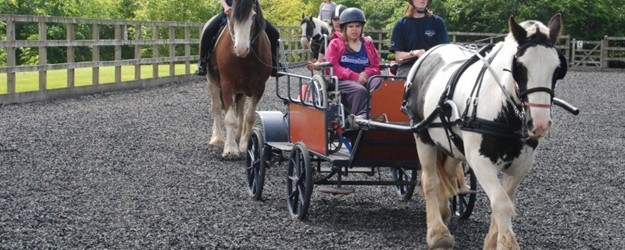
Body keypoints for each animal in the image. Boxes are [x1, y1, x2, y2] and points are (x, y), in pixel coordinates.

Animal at [207, 0, 270, 156]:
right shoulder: (227, 84)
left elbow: (250, 117)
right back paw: (218, 138)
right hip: (212, 81)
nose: (241, 49)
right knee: (217, 107)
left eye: (253, 16)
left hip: (242, 89)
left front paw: (244, 144)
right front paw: (230, 149)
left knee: (240, 109)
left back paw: (238, 135)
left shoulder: (259, 87)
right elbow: (230, 119)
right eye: (231, 15)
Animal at [402, 14, 568, 250]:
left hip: (452, 143)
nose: (540, 123)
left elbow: (506, 200)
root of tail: (430, 52)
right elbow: (501, 201)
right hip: (422, 135)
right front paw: (506, 243)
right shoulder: (479, 159)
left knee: (448, 172)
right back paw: (437, 231)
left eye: (558, 68)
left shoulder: (521, 164)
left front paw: (492, 241)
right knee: (430, 180)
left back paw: (444, 210)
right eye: (519, 66)